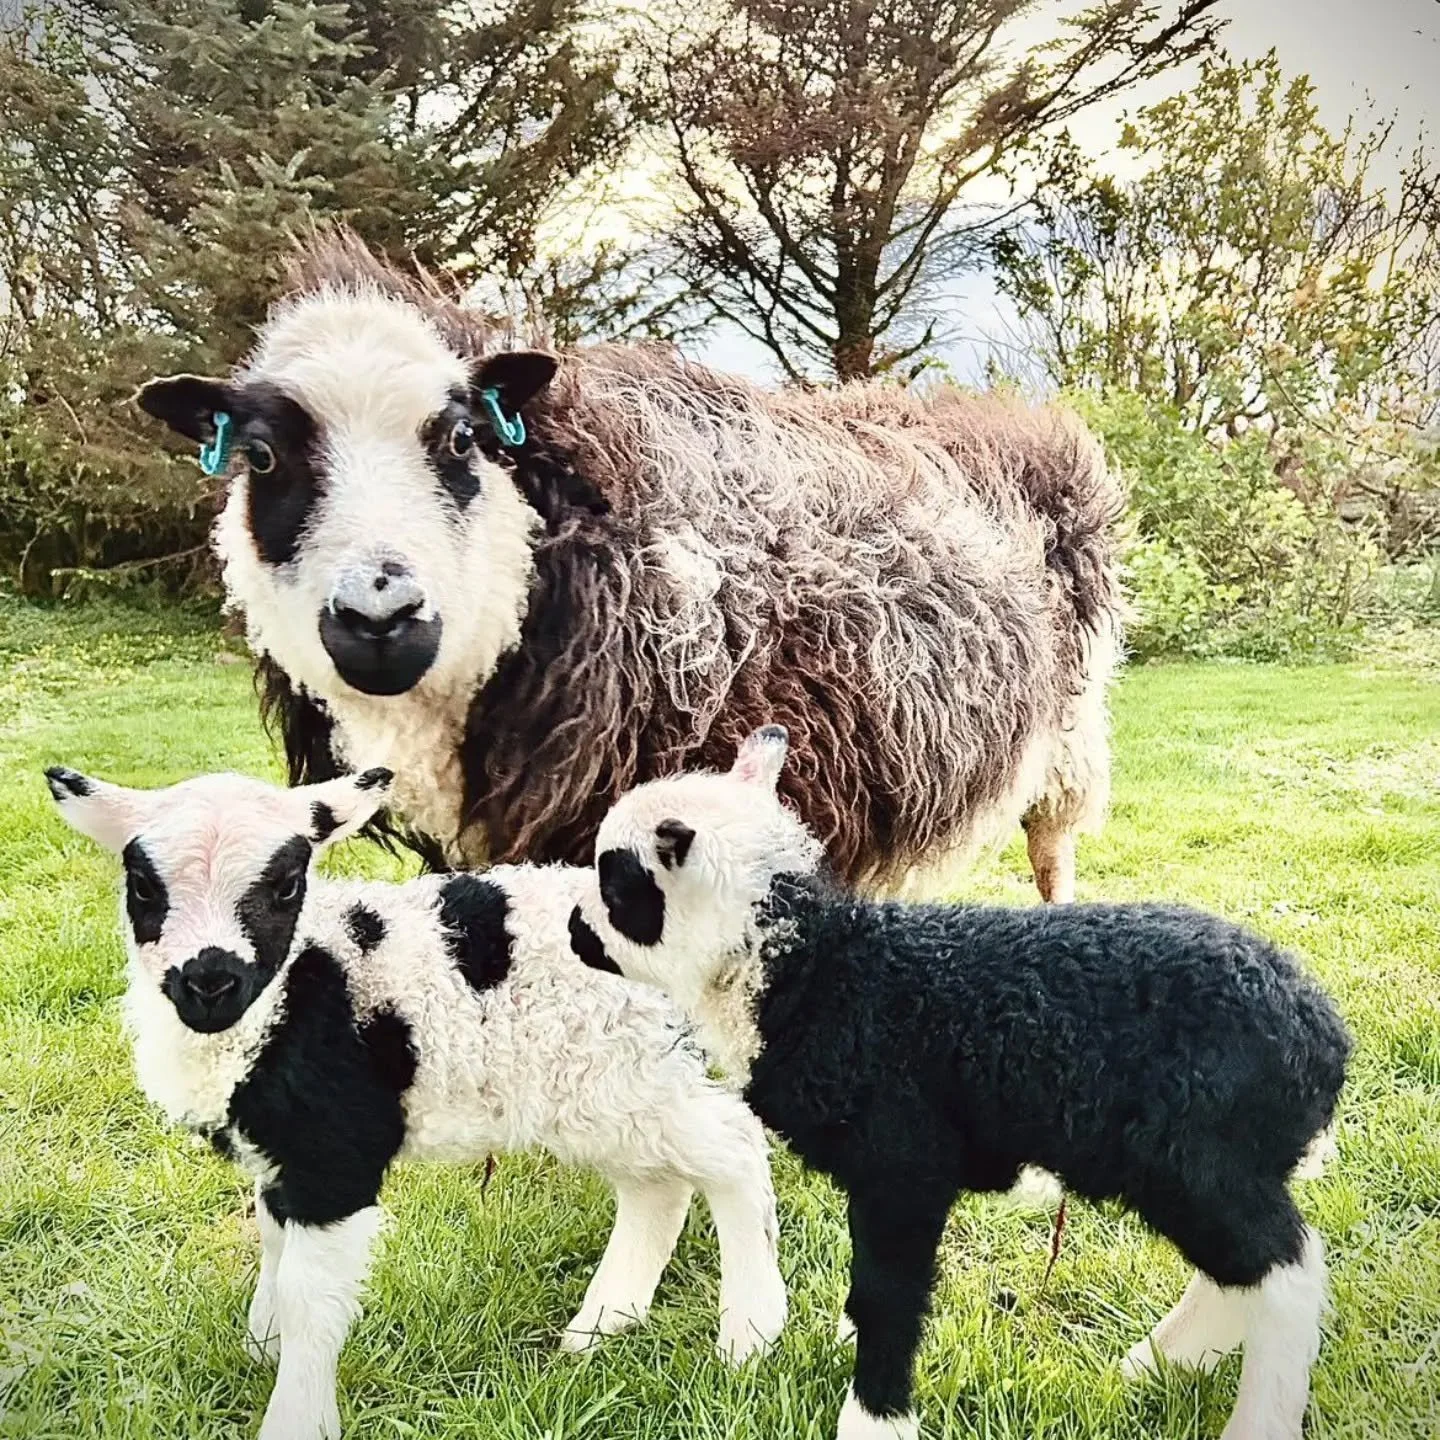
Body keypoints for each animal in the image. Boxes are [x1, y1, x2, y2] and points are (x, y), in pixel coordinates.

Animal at [45, 763, 786, 1440]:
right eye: (144, 886)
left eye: (286, 885)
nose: (210, 983)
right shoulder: (279, 1156)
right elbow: (272, 1243)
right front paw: (263, 1344)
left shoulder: (336, 1154)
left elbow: (311, 1295)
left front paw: (296, 1414)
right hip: (605, 1088)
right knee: (656, 1187)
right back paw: (601, 1328)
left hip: (626, 1068)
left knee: (734, 1149)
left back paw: (750, 1336)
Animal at [132, 228, 1124, 901]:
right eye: (262, 459)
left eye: (461, 437)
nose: (381, 617)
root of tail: (1010, 415)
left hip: (1070, 735)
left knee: (1053, 851)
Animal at [568, 726, 1352, 1440]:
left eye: (616, 882)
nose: (575, 927)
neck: (816, 974)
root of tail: (1321, 1037)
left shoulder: (903, 1163)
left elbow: (890, 1295)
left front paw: (873, 1420)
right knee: (1239, 1273)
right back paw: (1151, 1368)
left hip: (1197, 1160)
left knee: (1288, 1274)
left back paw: (1248, 1414)